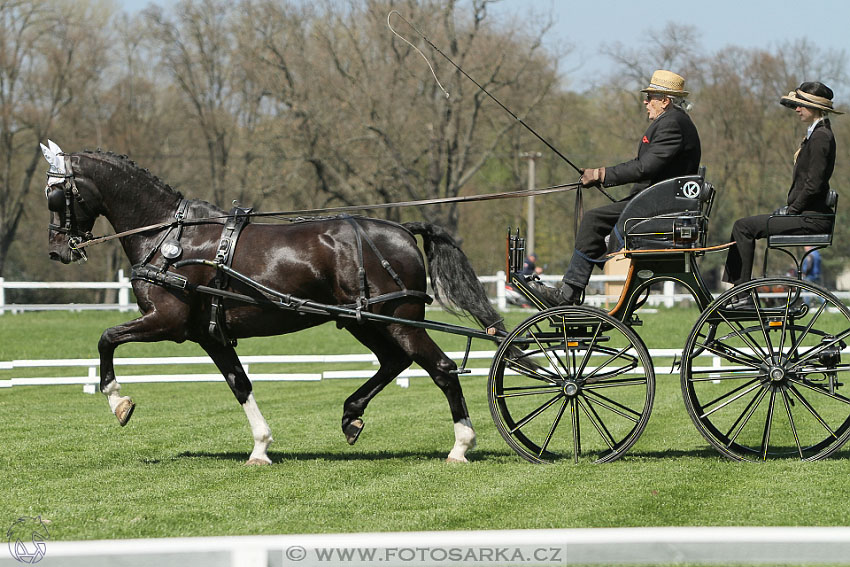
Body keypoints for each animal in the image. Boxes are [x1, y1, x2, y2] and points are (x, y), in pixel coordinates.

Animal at [41, 144, 504, 464]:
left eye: (55, 195)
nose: (57, 251)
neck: (171, 237)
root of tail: (403, 230)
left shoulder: (166, 322)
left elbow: (106, 338)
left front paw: (118, 401)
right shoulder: (209, 336)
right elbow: (239, 383)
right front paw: (261, 447)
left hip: (396, 320)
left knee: (441, 368)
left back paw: (461, 446)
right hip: (364, 321)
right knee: (395, 361)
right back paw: (351, 415)